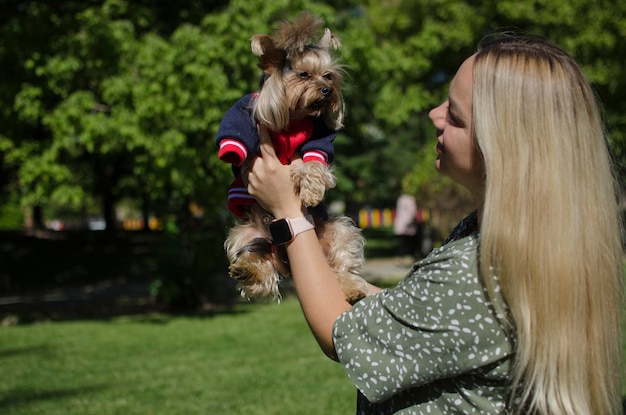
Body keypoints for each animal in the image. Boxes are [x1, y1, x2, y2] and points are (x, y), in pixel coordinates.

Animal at [216, 12, 368, 306]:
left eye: (328, 75)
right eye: (303, 74)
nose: (327, 89)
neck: (294, 115)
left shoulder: (319, 137)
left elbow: (314, 162)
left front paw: (311, 191)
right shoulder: (245, 112)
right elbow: (235, 128)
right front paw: (232, 152)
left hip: (339, 229)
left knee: (343, 265)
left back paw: (354, 290)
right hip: (244, 233)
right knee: (261, 268)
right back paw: (247, 271)